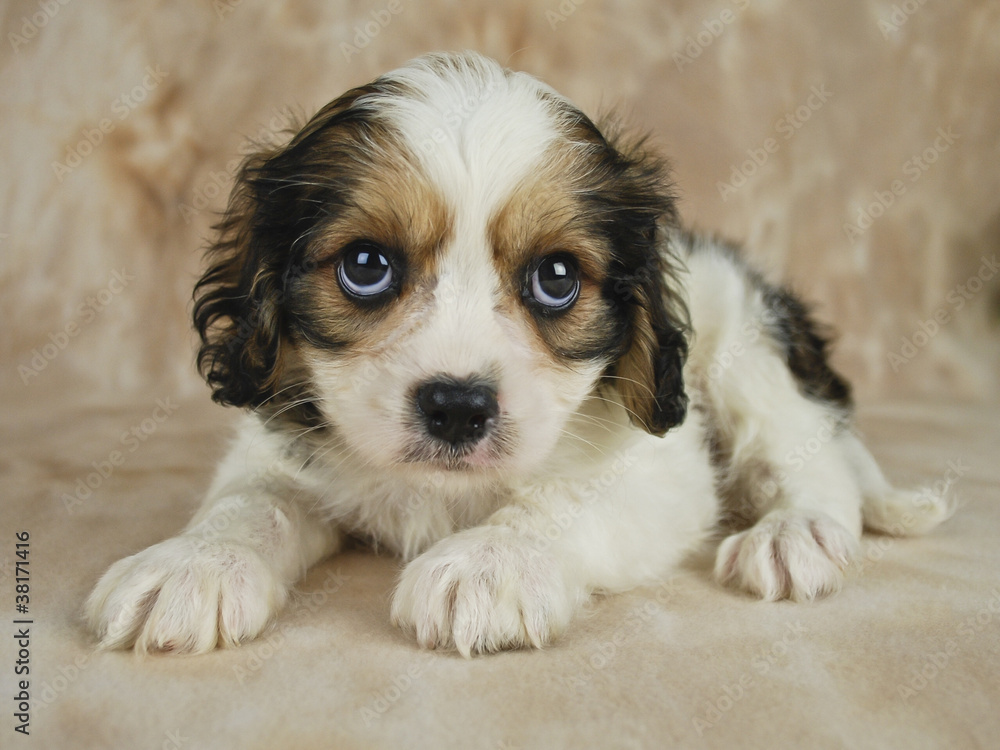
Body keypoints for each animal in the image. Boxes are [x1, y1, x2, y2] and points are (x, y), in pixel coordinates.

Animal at [84, 51, 944, 656]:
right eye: (366, 266)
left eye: (556, 278)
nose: (458, 408)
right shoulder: (281, 446)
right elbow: (249, 501)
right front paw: (195, 562)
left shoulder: (659, 472)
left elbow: (558, 500)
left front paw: (491, 562)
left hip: (746, 343)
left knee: (811, 460)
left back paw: (795, 533)